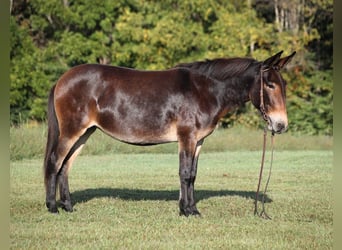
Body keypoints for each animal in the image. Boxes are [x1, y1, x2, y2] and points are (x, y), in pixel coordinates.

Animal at [43, 50, 294, 215]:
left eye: (283, 85)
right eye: (270, 85)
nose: (281, 126)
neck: (206, 91)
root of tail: (62, 79)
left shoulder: (198, 141)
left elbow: (193, 175)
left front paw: (191, 208)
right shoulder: (187, 137)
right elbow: (185, 173)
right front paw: (186, 211)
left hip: (85, 132)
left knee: (65, 166)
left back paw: (68, 206)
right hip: (72, 130)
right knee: (55, 162)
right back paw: (53, 207)